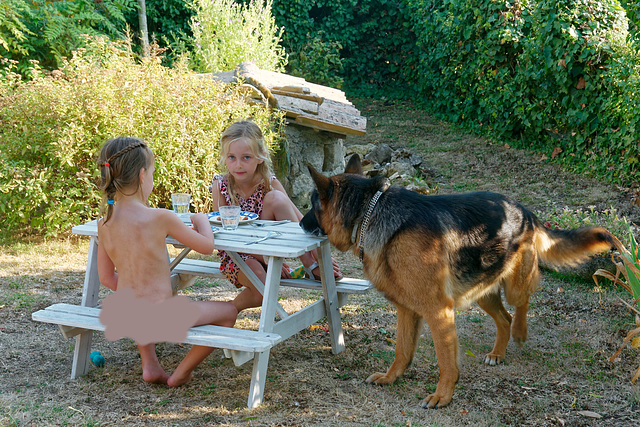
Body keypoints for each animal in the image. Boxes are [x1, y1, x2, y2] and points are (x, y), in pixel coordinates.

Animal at [302, 155, 624, 410]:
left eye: (312, 204)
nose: (300, 224)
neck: (369, 212)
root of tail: (524, 210)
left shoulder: (438, 312)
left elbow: (446, 361)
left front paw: (442, 396)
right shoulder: (407, 310)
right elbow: (402, 350)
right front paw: (391, 377)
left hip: (513, 286)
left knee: (521, 305)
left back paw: (520, 333)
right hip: (482, 290)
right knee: (504, 318)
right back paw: (497, 353)